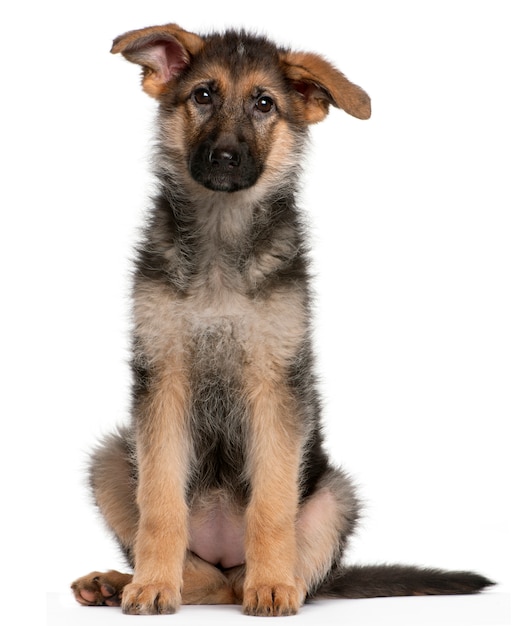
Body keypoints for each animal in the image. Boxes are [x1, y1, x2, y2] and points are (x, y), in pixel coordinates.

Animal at [71, 24, 494, 616]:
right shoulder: (162, 379)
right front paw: (152, 585)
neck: (222, 240)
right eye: (203, 95)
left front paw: (270, 587)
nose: (225, 157)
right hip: (113, 458)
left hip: (334, 496)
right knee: (201, 575)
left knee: (255, 574)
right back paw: (120, 581)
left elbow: (271, 503)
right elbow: (160, 504)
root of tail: (225, 556)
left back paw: (269, 580)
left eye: (264, 103)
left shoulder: (275, 383)